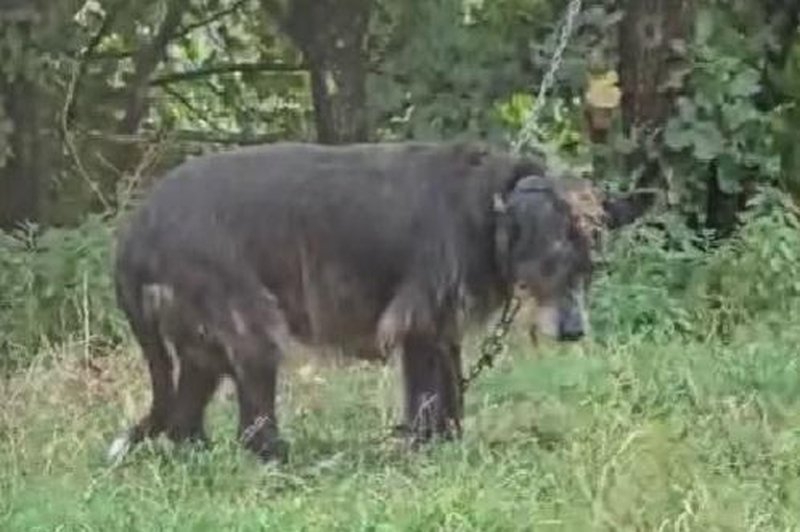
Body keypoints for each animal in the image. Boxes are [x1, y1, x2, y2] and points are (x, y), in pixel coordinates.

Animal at [108, 141, 648, 462]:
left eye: (591, 266)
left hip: (203, 350)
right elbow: (426, 400)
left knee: (183, 422)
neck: (485, 207)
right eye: (551, 260)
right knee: (251, 427)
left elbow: (451, 399)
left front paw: (450, 447)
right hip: (250, 330)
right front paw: (423, 453)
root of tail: (135, 233)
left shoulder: (442, 331)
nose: (575, 331)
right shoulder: (418, 325)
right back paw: (287, 461)